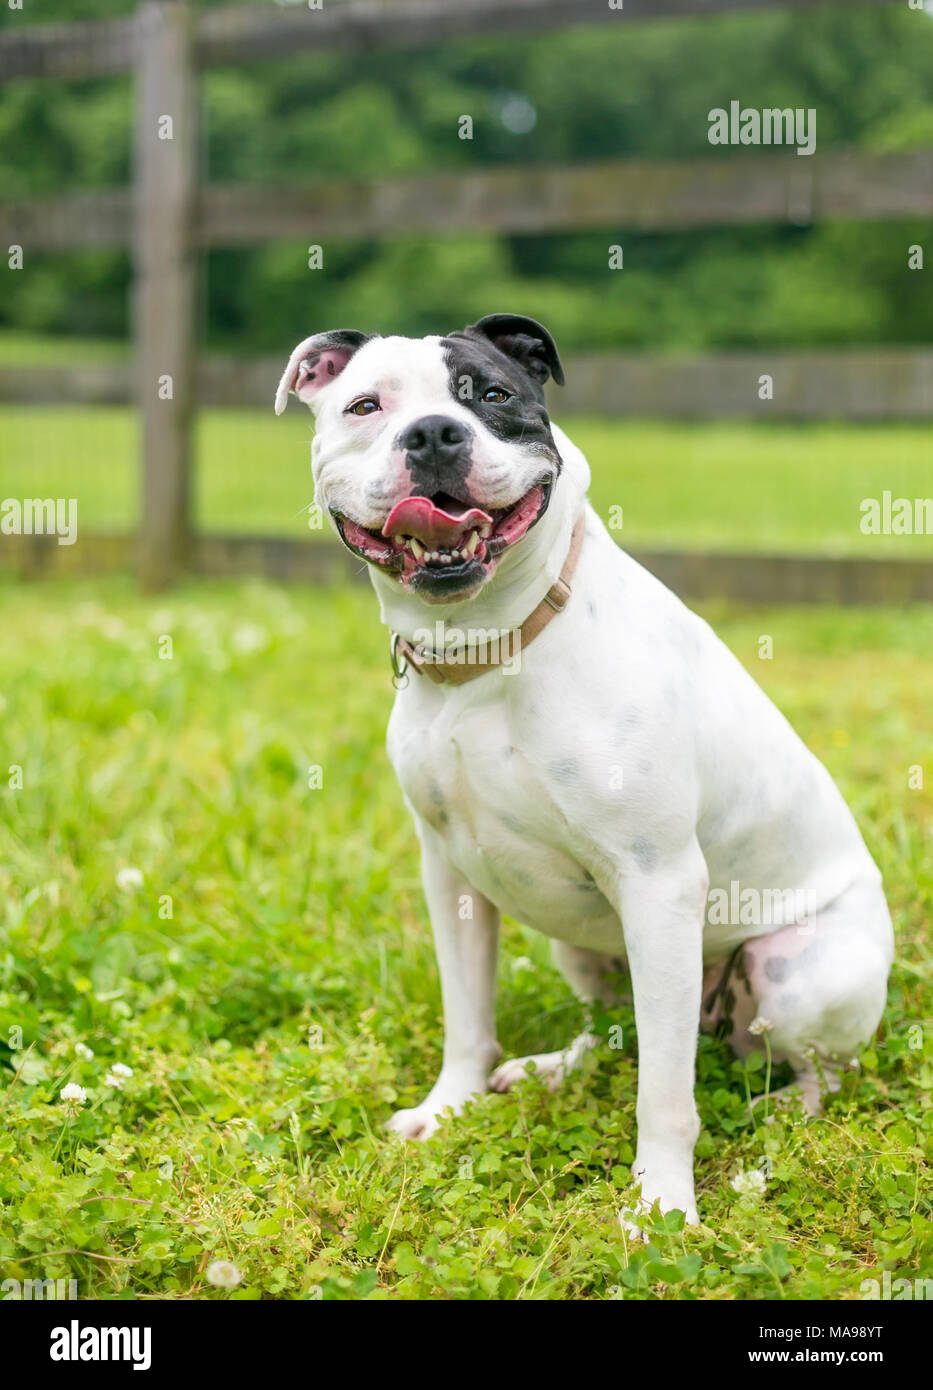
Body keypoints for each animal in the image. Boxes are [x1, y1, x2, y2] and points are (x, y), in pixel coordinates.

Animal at [273, 315, 895, 1228]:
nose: (433, 434)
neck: (489, 647)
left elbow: (665, 1096)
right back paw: (554, 1070)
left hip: (793, 975)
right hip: (584, 941)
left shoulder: (657, 882)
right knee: (619, 1027)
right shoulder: (450, 872)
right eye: (365, 405)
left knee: (813, 1070)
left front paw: (661, 1207)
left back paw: (779, 1112)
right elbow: (467, 1012)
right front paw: (449, 1109)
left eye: (492, 394)